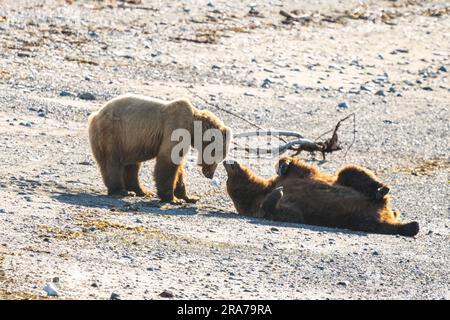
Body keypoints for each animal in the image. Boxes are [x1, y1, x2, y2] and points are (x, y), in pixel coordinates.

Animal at [87, 94, 232, 202]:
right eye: (219, 155)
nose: (209, 174)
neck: (193, 128)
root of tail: (94, 116)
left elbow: (179, 167)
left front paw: (189, 196)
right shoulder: (176, 126)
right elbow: (168, 160)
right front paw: (172, 198)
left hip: (130, 142)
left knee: (132, 165)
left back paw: (142, 191)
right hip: (112, 134)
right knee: (112, 162)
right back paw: (121, 191)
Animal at [223, 159, 420, 236]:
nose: (228, 161)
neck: (260, 190)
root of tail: (387, 211)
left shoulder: (295, 176)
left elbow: (298, 166)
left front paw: (283, 165)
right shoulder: (264, 206)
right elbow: (287, 213)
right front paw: (278, 193)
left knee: (350, 171)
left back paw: (381, 189)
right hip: (355, 218)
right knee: (373, 224)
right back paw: (411, 226)